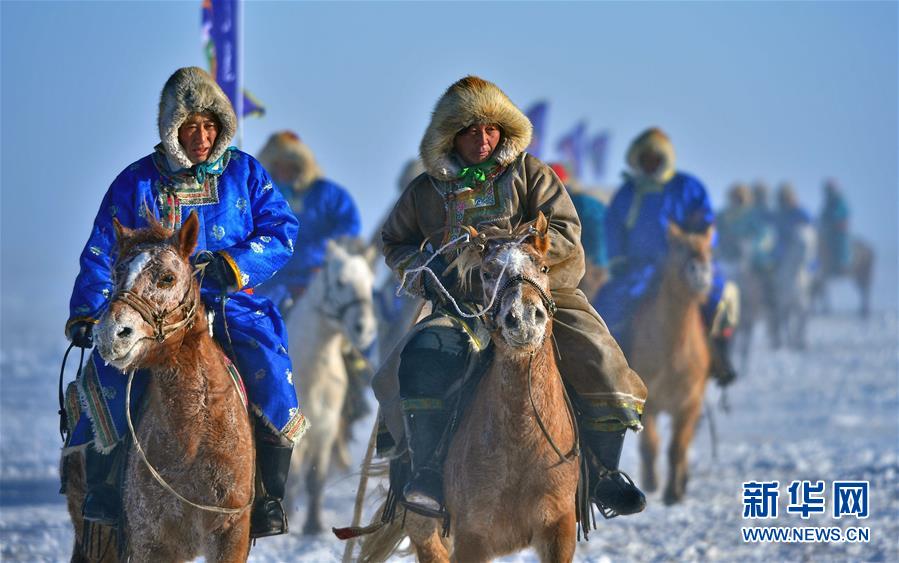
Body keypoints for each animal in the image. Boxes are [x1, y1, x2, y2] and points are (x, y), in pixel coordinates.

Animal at [284, 239, 376, 536]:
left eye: (370, 284)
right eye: (340, 281)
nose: (363, 329)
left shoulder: (326, 427)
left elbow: (316, 477)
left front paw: (313, 524)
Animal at [356, 212, 576, 563]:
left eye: (543, 267)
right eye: (487, 273)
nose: (524, 319)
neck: (522, 438)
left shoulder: (559, 528)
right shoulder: (473, 536)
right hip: (423, 524)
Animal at [632, 225, 716, 506]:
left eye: (709, 248)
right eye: (678, 247)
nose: (700, 272)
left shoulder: (689, 404)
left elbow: (677, 448)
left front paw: (673, 493)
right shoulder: (647, 402)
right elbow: (651, 445)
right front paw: (651, 482)